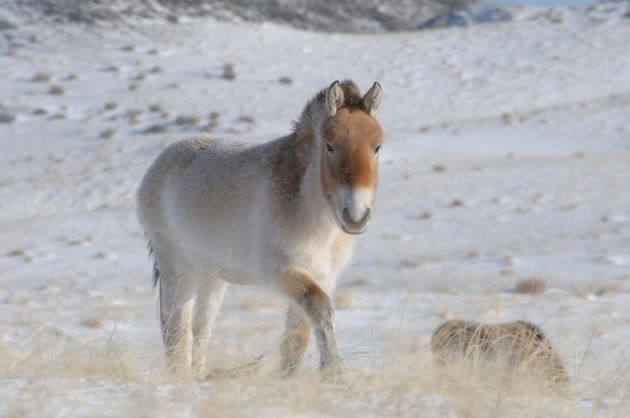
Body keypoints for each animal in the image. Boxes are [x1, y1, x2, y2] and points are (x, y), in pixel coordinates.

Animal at [137, 81, 386, 378]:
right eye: (330, 146)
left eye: (377, 147)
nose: (356, 216)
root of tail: (158, 165)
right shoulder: (282, 272)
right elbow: (320, 308)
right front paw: (333, 370)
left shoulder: (323, 275)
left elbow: (298, 335)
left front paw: (290, 379)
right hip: (178, 268)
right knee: (177, 325)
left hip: (212, 276)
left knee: (201, 328)